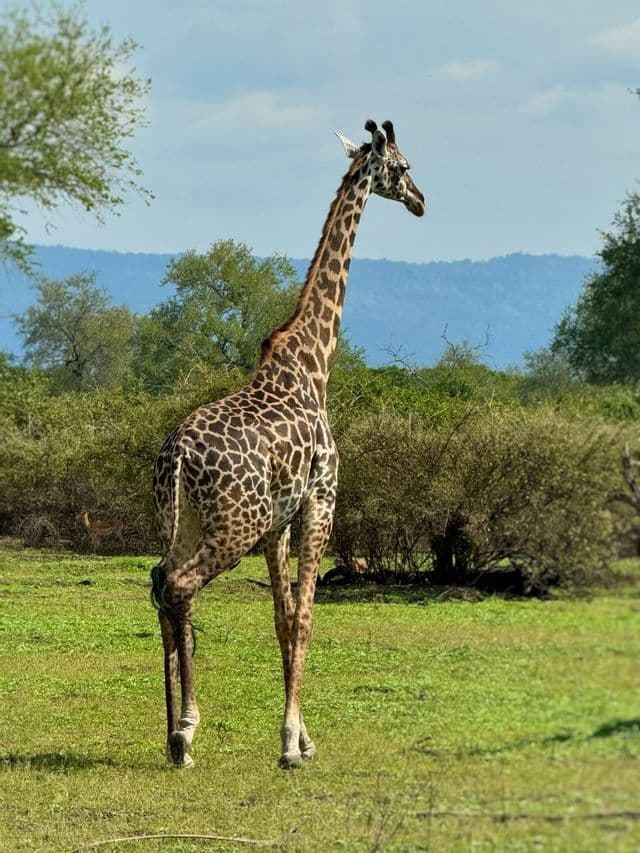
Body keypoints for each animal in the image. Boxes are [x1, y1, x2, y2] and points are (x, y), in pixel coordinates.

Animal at [151, 119, 425, 769]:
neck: (312, 362)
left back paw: (174, 734)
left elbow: (279, 618)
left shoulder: (278, 521)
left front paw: (301, 736)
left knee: (158, 583)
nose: (422, 200)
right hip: (234, 524)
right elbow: (304, 617)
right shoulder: (321, 501)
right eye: (401, 167)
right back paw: (185, 730)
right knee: (179, 586)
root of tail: (177, 456)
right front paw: (291, 747)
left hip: (186, 518)